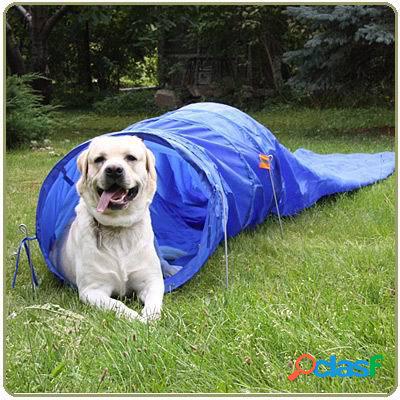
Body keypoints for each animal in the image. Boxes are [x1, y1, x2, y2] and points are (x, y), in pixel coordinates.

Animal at [55, 136, 163, 324]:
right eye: (99, 159)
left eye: (130, 158)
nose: (113, 170)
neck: (118, 227)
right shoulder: (92, 290)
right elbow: (117, 305)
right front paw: (135, 318)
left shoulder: (152, 281)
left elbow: (154, 303)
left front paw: (149, 318)